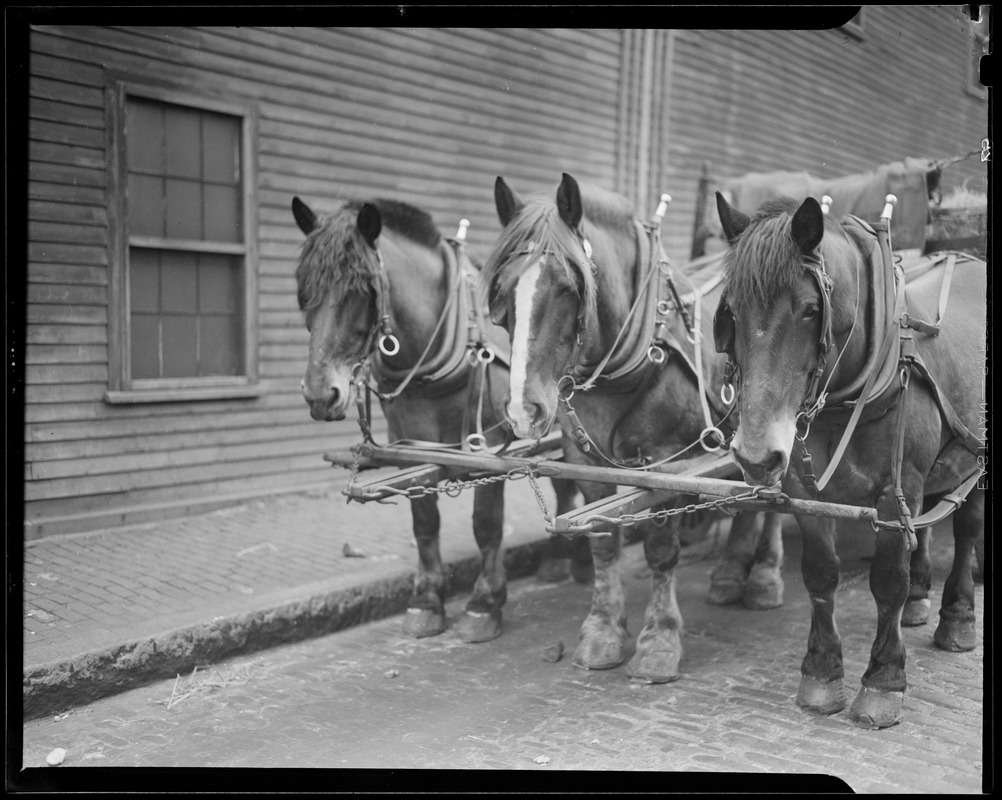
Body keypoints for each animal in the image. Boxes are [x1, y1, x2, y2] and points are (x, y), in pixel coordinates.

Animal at [291, 194, 582, 644]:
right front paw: (427, 600)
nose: (321, 395)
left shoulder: (490, 445)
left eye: (362, 289)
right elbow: (424, 521)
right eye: (303, 288)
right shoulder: (411, 442)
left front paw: (485, 602)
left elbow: (486, 524)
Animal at [481, 172, 787, 683]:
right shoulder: (584, 460)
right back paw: (729, 572)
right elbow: (603, 543)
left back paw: (764, 574)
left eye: (568, 286)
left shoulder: (667, 460)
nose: (525, 409)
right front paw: (602, 630)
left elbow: (660, 547)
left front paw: (659, 641)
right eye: (502, 290)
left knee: (777, 501)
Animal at [714, 192, 986, 728]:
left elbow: (888, 581)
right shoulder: (804, 490)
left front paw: (883, 681)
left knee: (966, 529)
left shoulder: (893, 492)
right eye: (730, 311)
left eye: (809, 309)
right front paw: (820, 674)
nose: (756, 454)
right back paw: (921, 600)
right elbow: (820, 573)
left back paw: (958, 618)